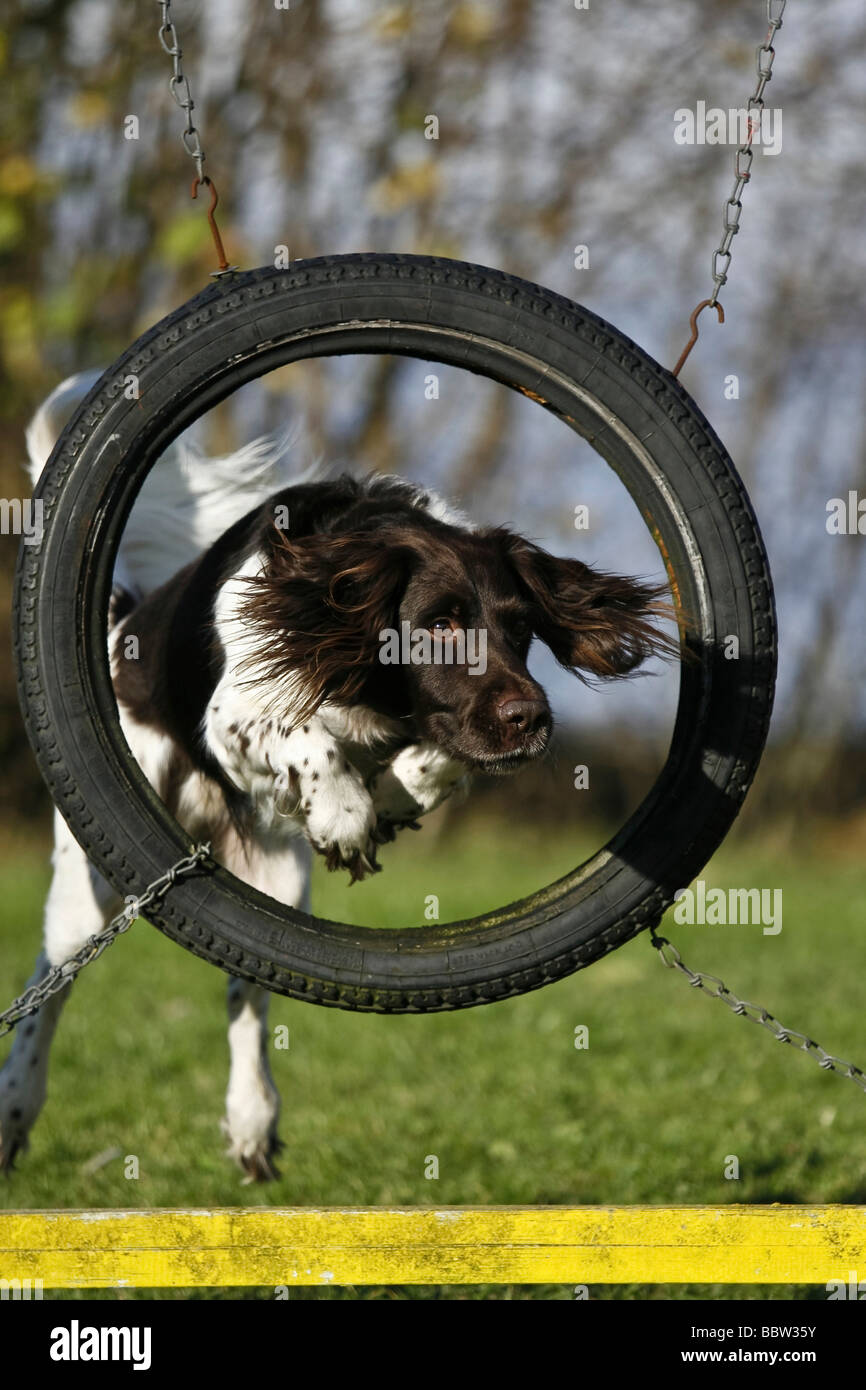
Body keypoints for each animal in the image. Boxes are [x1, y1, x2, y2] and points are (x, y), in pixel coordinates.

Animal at [0, 372, 670, 1184]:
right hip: (90, 883)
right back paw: (15, 1105)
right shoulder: (232, 712)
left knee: (248, 997)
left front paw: (389, 798)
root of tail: (120, 624)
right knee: (50, 983)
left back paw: (253, 1120)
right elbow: (304, 732)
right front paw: (348, 813)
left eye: (520, 627)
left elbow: (432, 758)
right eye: (440, 625)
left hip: (276, 882)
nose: (532, 718)